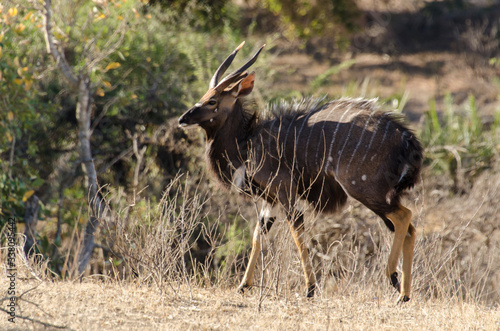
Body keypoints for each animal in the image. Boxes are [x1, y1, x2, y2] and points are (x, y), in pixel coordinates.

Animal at [180, 42, 422, 304]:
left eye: (212, 101)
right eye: (203, 97)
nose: (183, 118)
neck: (247, 142)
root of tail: (406, 138)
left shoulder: (285, 192)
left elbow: (297, 233)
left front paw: (310, 288)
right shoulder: (270, 200)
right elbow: (258, 235)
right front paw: (243, 285)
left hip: (364, 189)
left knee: (403, 216)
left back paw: (393, 278)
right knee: (409, 227)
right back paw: (404, 294)